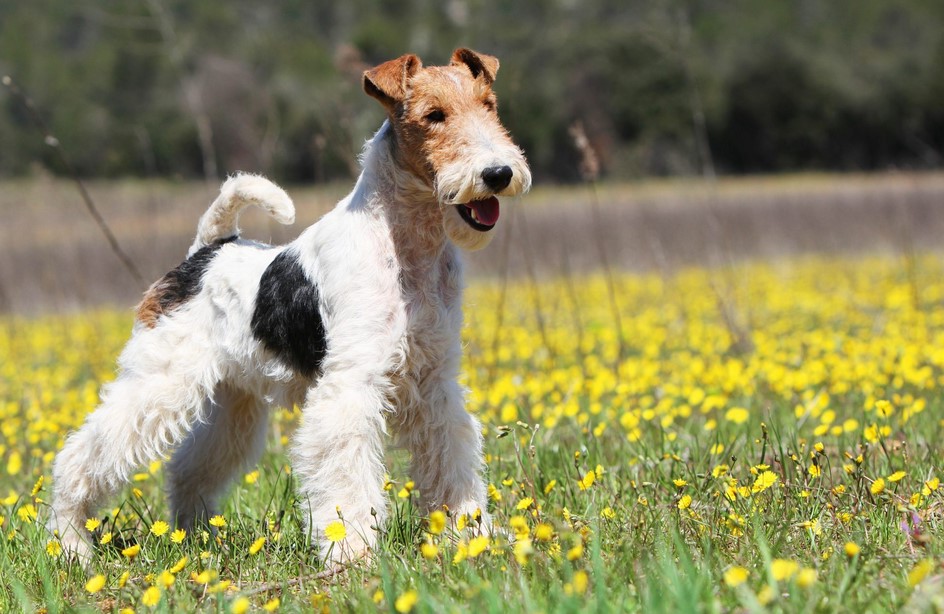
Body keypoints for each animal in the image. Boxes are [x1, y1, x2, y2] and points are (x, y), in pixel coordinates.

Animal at [48, 49, 532, 568]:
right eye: (434, 116)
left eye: (489, 106)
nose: (498, 174)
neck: (406, 244)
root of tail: (205, 251)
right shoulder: (349, 385)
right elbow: (347, 478)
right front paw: (352, 552)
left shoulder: (435, 384)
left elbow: (451, 459)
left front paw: (469, 533)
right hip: (159, 384)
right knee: (80, 455)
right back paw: (71, 542)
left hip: (231, 405)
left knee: (187, 469)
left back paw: (195, 537)